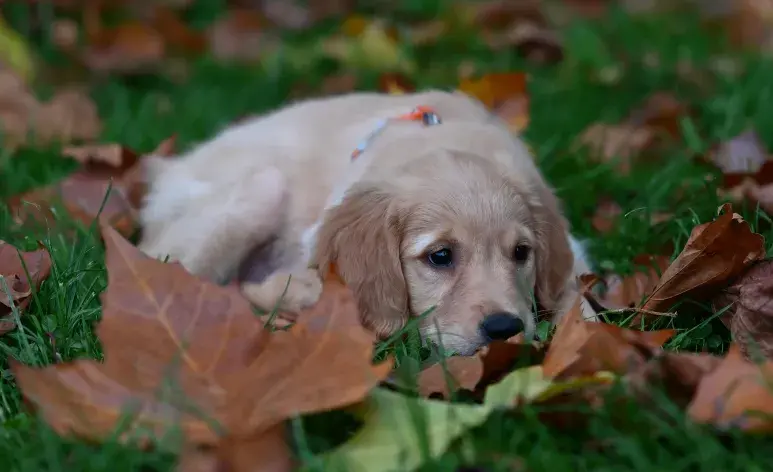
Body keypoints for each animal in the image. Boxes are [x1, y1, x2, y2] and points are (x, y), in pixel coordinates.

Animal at [137, 89, 592, 354]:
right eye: (440, 256)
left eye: (521, 253)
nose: (505, 329)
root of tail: (168, 171)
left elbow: (579, 297)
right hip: (262, 189)